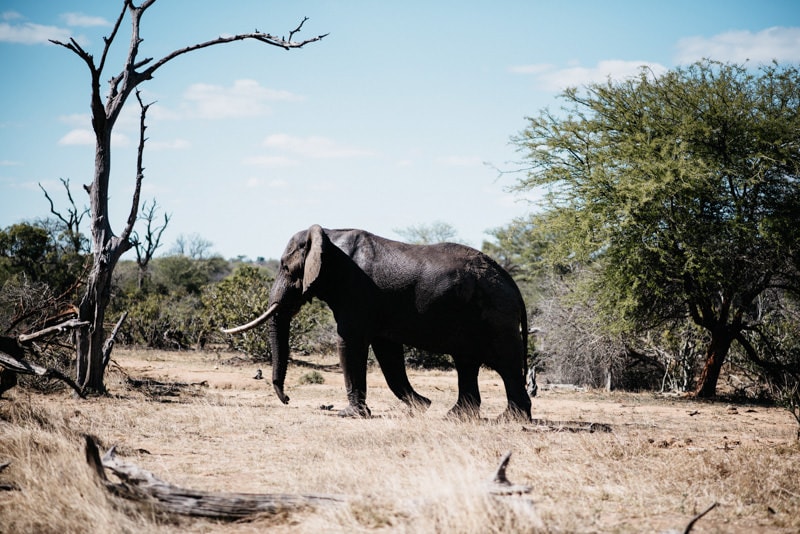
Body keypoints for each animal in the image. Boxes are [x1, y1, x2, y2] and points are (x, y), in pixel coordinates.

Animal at [225, 224, 536, 420]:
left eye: (286, 268)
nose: (287, 399)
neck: (328, 235)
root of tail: (512, 283)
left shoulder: (355, 291)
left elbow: (349, 342)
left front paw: (349, 416)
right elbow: (387, 352)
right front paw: (421, 406)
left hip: (495, 314)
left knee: (505, 362)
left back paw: (510, 419)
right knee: (467, 362)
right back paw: (456, 416)